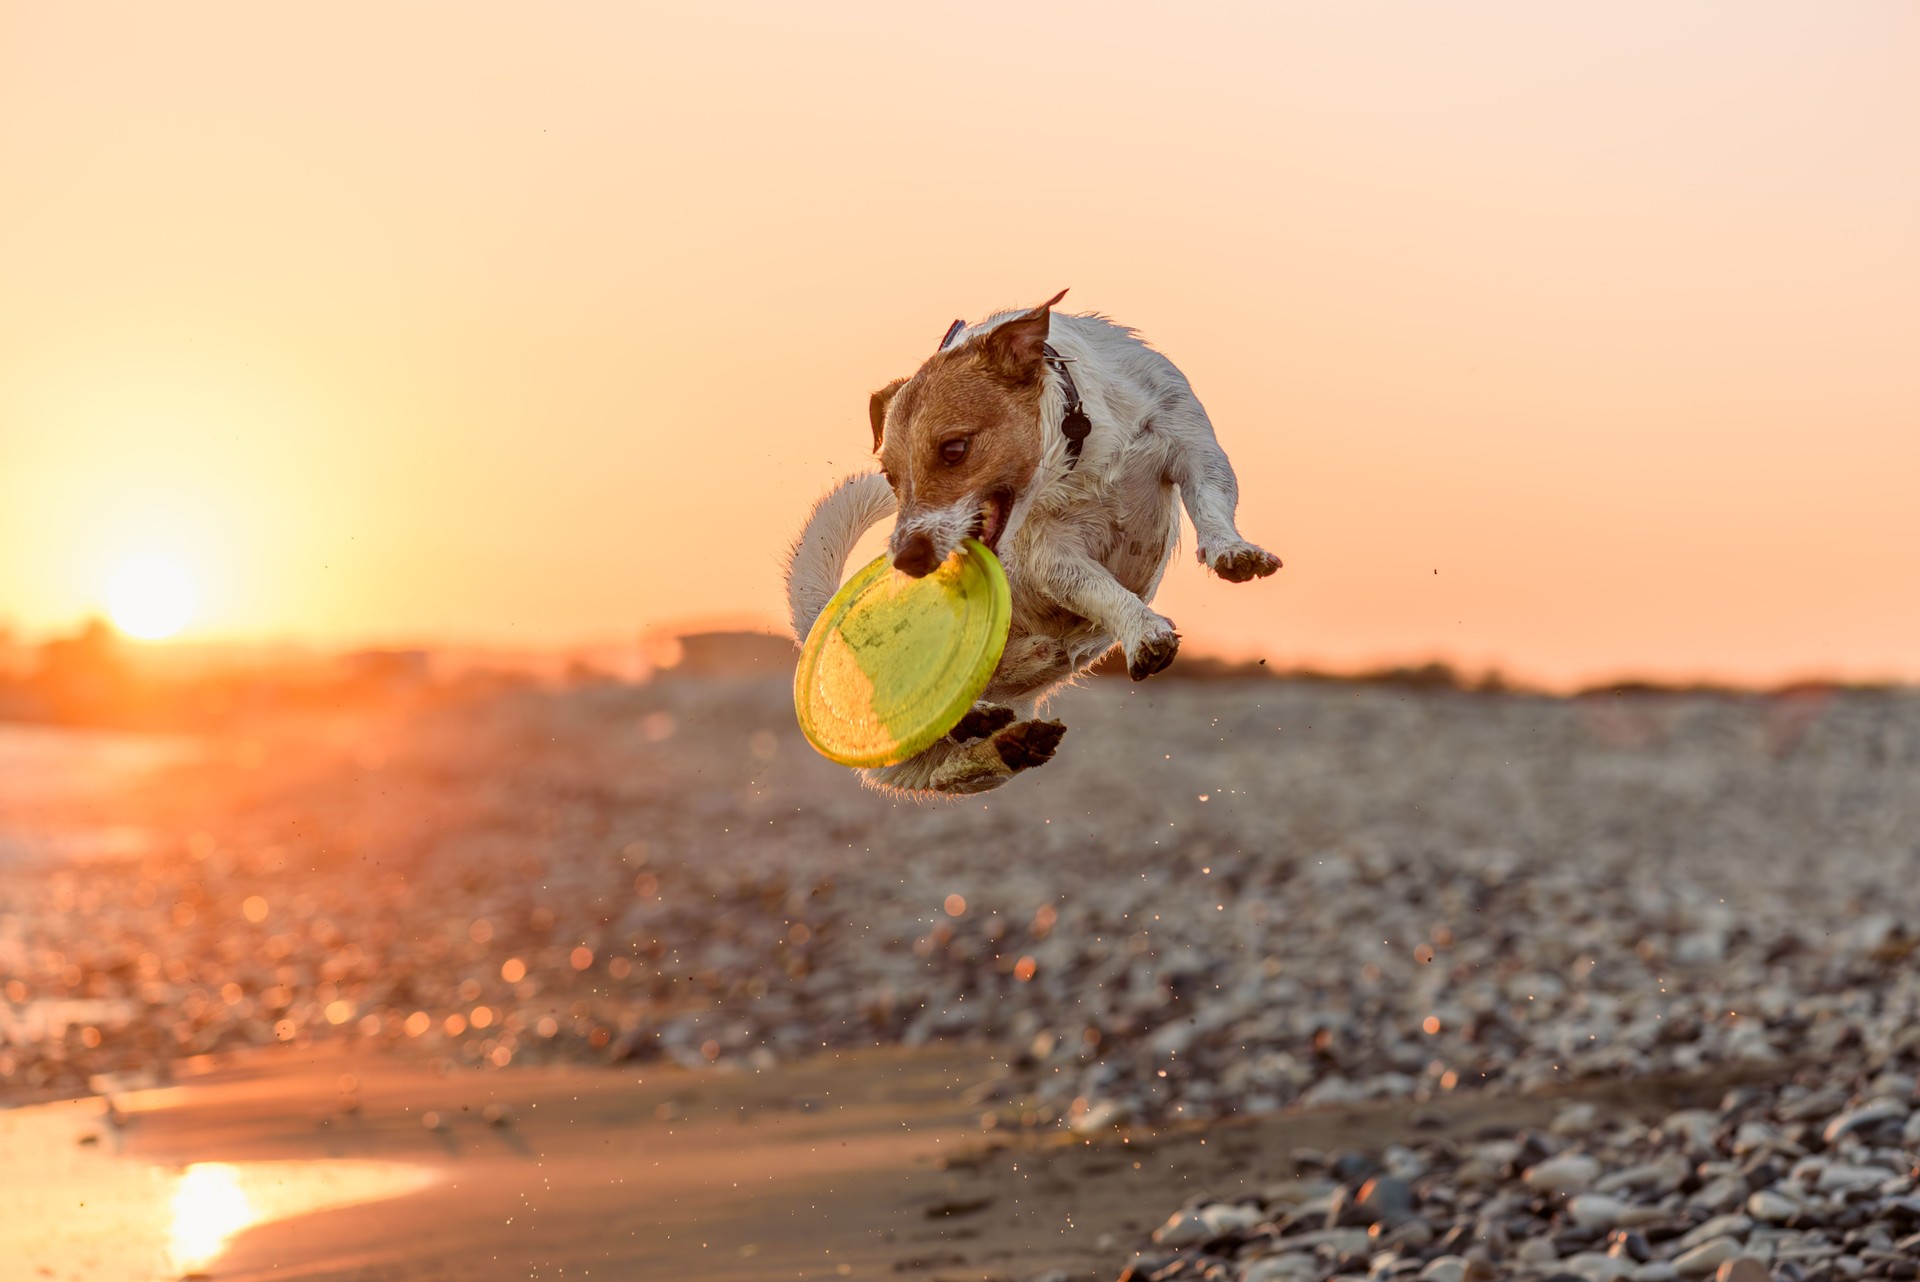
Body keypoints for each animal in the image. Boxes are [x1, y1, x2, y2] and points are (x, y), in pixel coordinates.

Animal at [787, 293, 1282, 790]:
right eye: (890, 476)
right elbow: (1105, 591)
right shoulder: (1052, 554)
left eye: (954, 450)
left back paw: (1011, 743)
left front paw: (1233, 552)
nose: (907, 559)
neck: (1080, 445)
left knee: (950, 765)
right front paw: (1145, 633)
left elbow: (1211, 502)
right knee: (939, 756)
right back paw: (980, 720)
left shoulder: (1190, 444)